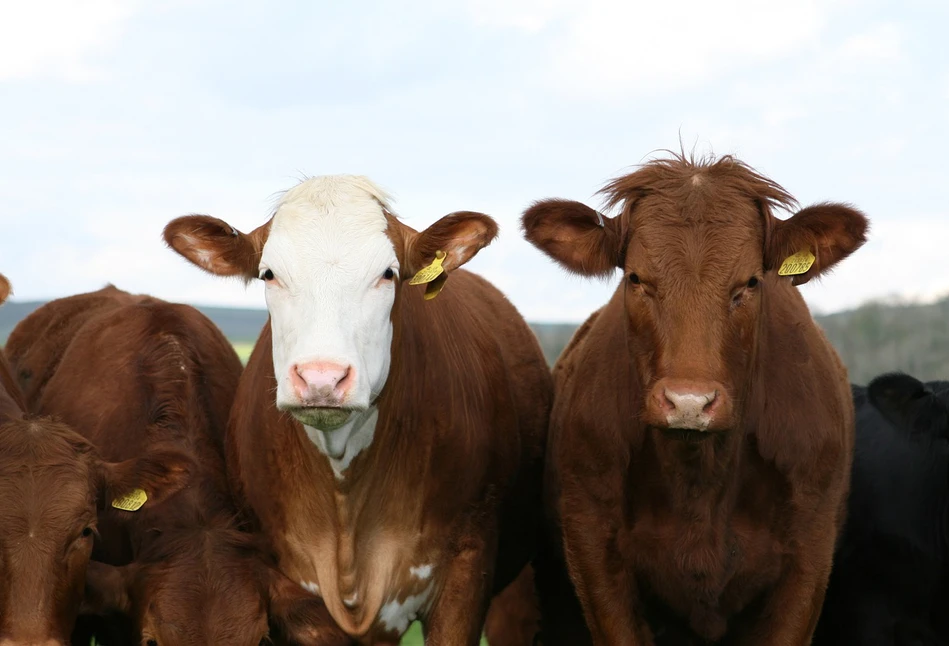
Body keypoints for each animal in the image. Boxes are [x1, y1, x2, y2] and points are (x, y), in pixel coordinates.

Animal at [524, 154, 872, 644]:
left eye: (750, 282)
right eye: (636, 278)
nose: (689, 402)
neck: (701, 480)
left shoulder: (809, 555)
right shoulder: (593, 551)